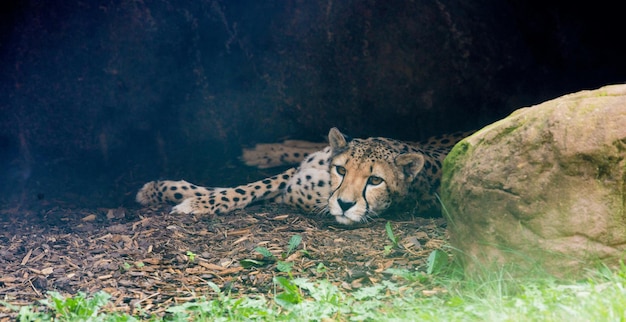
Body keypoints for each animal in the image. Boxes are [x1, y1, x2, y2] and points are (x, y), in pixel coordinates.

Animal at [136, 127, 468, 224]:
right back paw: (260, 150)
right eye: (342, 170)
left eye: (376, 181)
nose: (345, 205)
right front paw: (161, 189)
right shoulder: (294, 173)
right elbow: (244, 187)